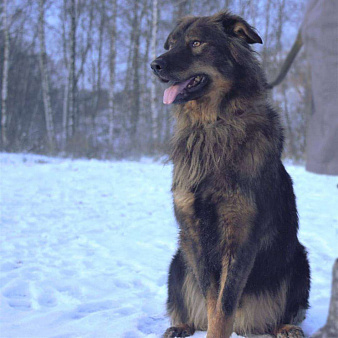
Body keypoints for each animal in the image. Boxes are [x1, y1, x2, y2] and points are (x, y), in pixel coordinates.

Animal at [152, 10, 310, 338]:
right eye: (170, 45)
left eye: (196, 43)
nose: (154, 65)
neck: (214, 124)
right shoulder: (194, 233)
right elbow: (213, 301)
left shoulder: (241, 235)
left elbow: (225, 305)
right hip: (177, 262)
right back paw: (180, 326)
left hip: (299, 261)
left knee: (288, 311)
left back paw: (287, 327)